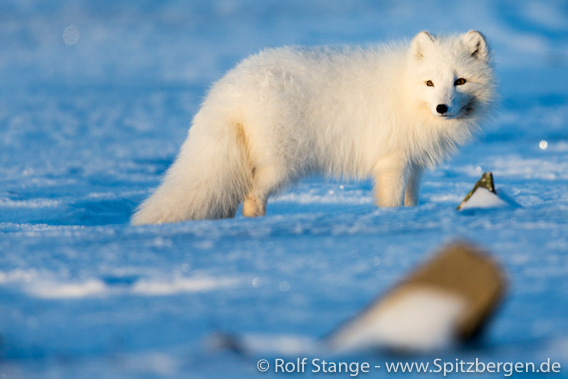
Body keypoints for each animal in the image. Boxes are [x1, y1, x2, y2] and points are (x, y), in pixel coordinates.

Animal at [131, 31, 494, 226]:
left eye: (460, 81)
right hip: (282, 163)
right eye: (430, 83)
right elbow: (390, 202)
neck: (405, 93)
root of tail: (227, 87)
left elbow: (410, 202)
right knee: (252, 196)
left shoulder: (413, 165)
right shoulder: (393, 162)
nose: (442, 108)